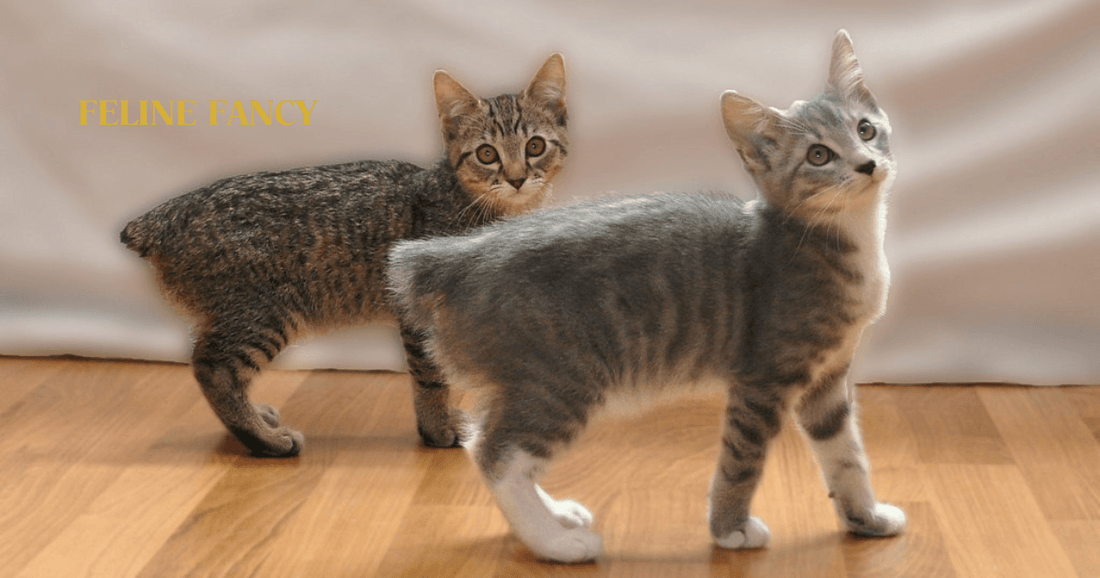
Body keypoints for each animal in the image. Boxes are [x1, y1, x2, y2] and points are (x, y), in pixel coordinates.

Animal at [122, 52, 567, 455]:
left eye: (535, 146)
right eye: (486, 153)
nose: (517, 178)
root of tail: (168, 212)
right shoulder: (418, 315)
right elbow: (432, 377)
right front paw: (437, 429)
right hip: (264, 313)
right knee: (212, 368)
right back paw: (264, 440)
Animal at [391, 29, 906, 561]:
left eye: (866, 130)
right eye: (819, 155)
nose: (867, 164)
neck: (845, 238)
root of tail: (457, 255)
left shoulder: (828, 382)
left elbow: (847, 456)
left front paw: (866, 519)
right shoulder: (762, 378)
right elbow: (742, 461)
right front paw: (730, 530)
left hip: (531, 382)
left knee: (492, 443)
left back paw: (555, 514)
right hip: (562, 377)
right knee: (496, 455)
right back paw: (555, 541)